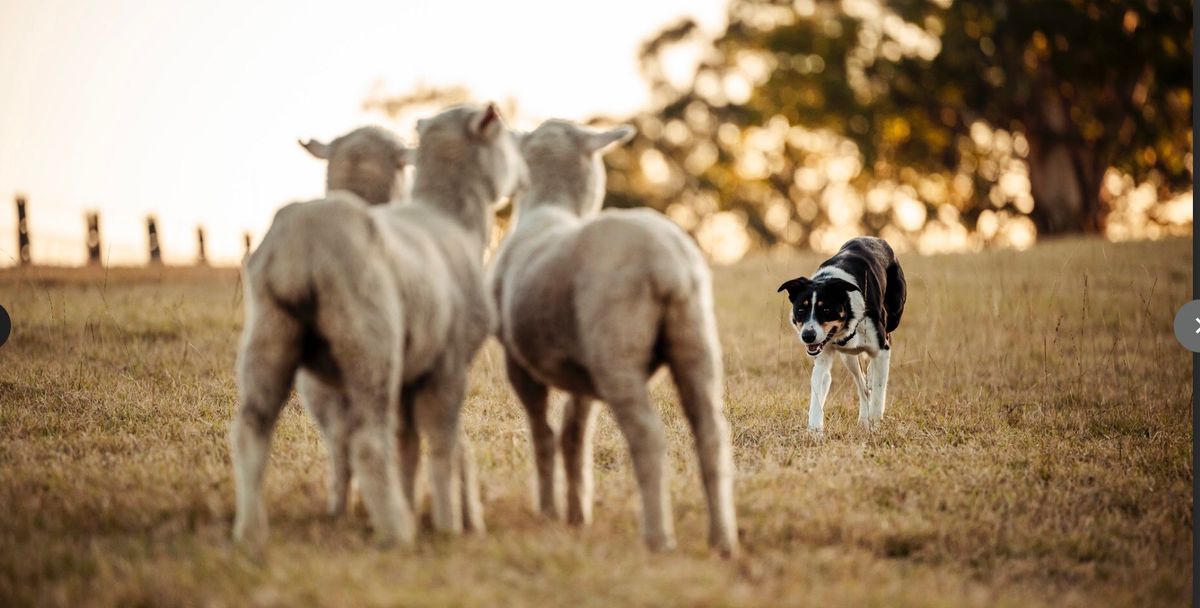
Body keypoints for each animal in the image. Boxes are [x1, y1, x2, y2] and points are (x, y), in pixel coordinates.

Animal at [229, 104, 525, 546]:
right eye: (505, 135)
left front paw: (413, 501)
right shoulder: (448, 364)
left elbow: (407, 446)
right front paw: (448, 525)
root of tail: (303, 242)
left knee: (253, 430)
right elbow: (441, 444)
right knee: (367, 442)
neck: (453, 219)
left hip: (271, 333)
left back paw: (251, 531)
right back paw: (398, 531)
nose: (524, 175)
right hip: (370, 341)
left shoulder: (411, 373)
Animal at [489, 118, 734, 556]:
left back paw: (658, 537)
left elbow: (542, 433)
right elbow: (573, 435)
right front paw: (576, 514)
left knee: (648, 436)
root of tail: (666, 264)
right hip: (694, 341)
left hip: (616, 352)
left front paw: (549, 510)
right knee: (711, 434)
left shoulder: (518, 361)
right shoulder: (580, 371)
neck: (549, 207)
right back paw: (721, 539)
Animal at [782, 237, 902, 434]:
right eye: (800, 310)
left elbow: (878, 392)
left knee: (872, 377)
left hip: (892, 321)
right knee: (862, 386)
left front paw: (875, 427)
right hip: (848, 357)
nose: (807, 336)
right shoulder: (822, 355)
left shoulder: (882, 350)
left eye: (826, 310)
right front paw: (814, 432)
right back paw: (862, 419)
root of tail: (876, 239)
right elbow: (817, 393)